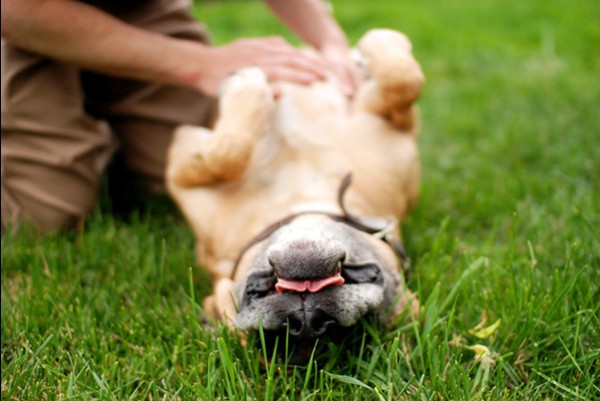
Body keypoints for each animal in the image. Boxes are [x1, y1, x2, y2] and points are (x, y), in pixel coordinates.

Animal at [166, 28, 424, 360]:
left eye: (357, 329)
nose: (308, 322)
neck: (305, 196)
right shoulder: (181, 166)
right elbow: (227, 153)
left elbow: (403, 83)